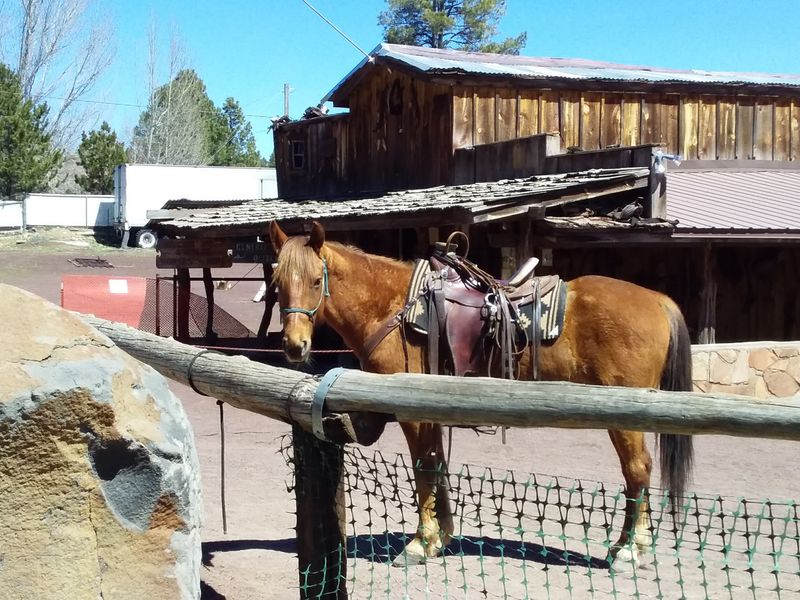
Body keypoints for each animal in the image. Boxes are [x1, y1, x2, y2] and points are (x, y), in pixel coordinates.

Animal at [268, 219, 693, 567]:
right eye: (278, 284)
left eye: (315, 281)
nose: (294, 346)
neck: (392, 308)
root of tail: (658, 300)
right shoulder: (429, 412)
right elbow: (436, 465)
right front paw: (439, 538)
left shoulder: (411, 413)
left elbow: (423, 468)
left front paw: (419, 544)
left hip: (626, 416)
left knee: (637, 470)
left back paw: (630, 549)